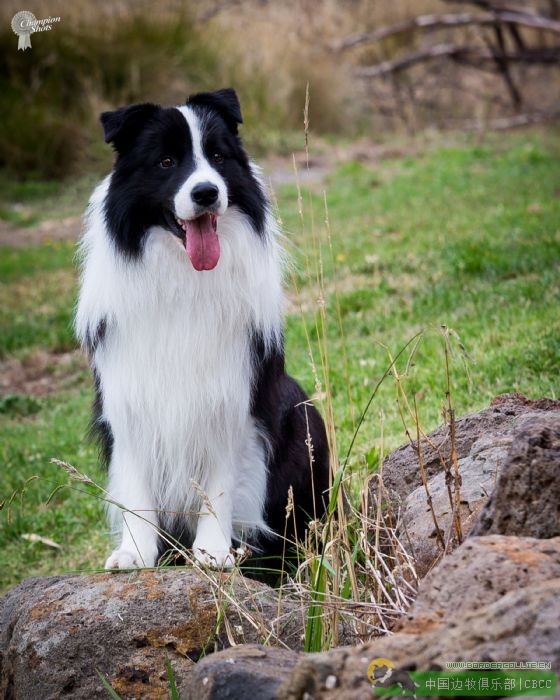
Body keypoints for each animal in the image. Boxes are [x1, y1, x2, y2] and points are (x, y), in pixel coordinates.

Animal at [74, 87, 328, 572]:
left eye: (218, 156)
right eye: (166, 162)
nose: (207, 192)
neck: (182, 277)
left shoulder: (232, 400)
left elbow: (219, 486)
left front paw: (212, 551)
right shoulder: (129, 397)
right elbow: (137, 485)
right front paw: (136, 552)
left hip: (305, 415)